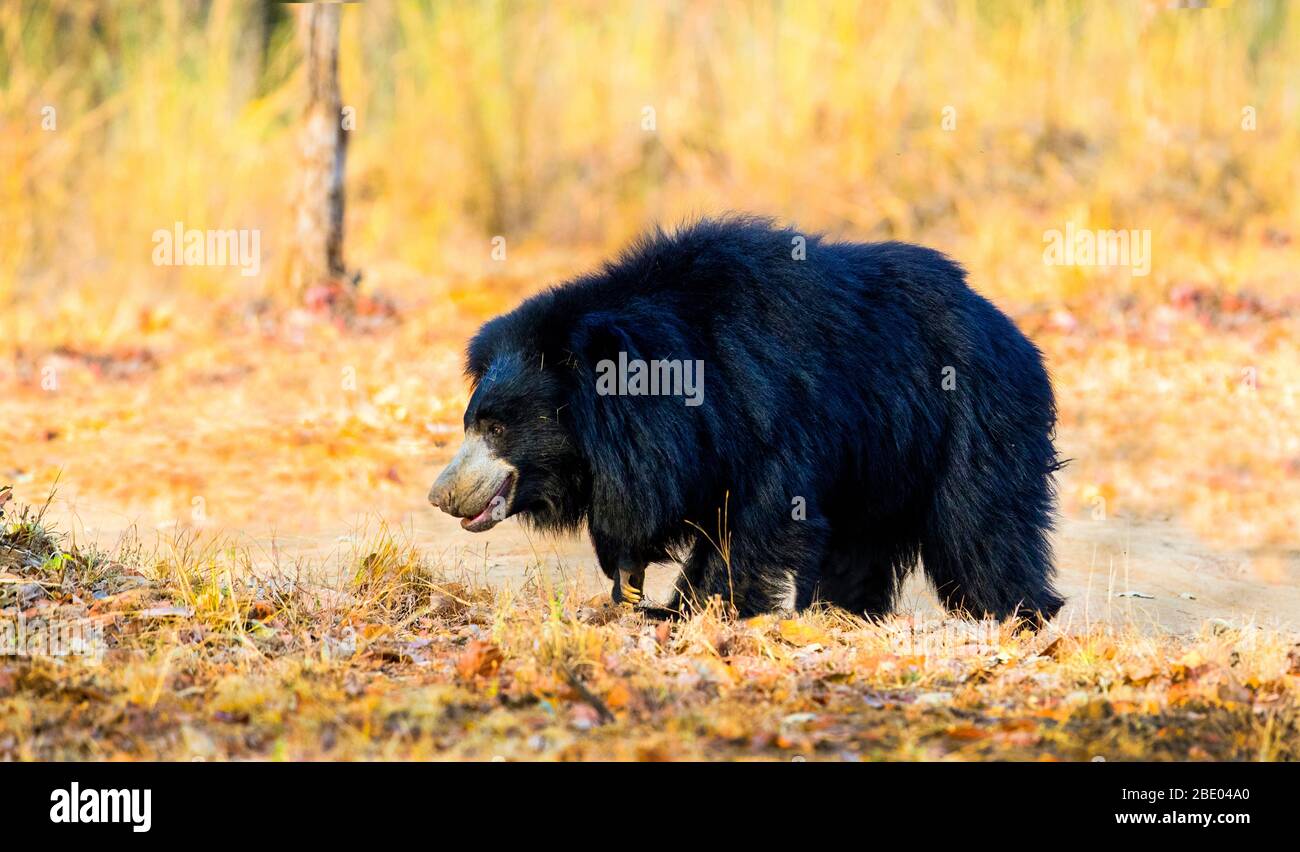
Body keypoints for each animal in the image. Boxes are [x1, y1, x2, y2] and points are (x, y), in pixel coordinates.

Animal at [431, 217, 1060, 624]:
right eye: (471, 423)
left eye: (498, 429)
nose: (441, 495)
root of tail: (1009, 329)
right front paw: (635, 592)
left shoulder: (764, 412)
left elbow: (760, 514)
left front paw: (691, 610)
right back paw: (843, 612)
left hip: (972, 420)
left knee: (980, 525)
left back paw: (1018, 614)